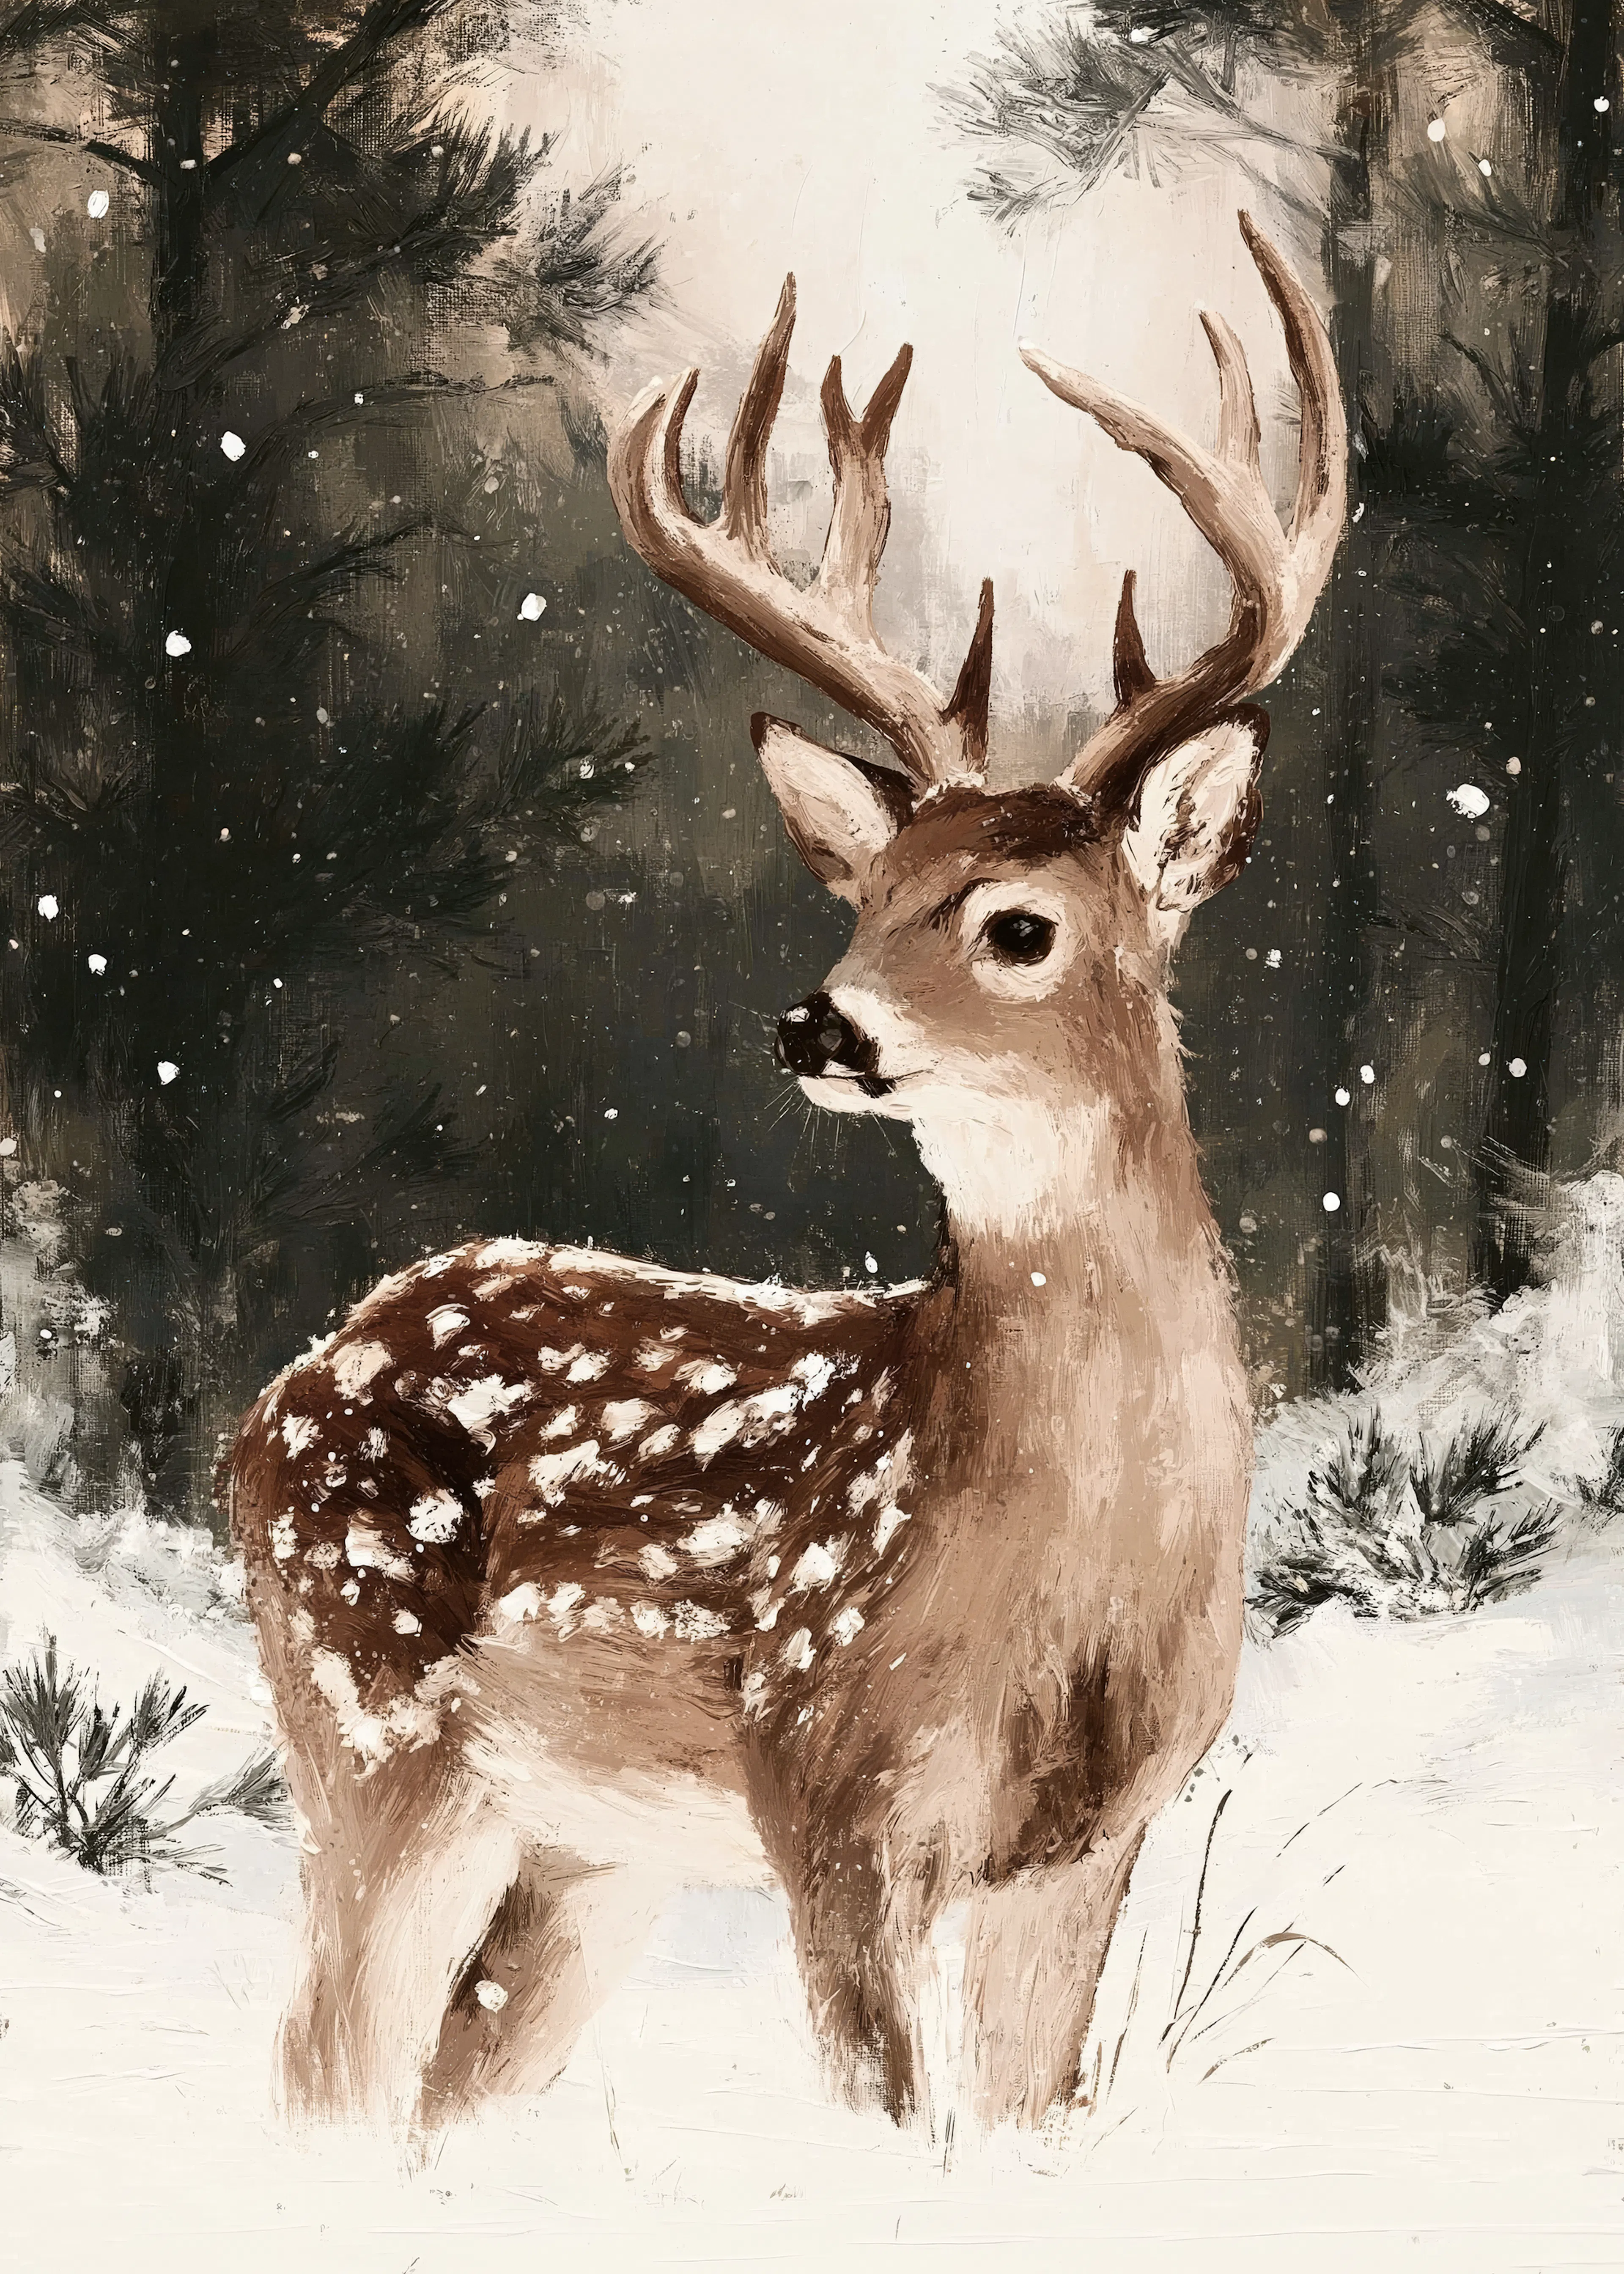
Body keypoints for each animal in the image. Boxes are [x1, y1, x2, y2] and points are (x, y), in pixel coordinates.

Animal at [226, 210, 1343, 2139]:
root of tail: (275, 1396)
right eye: (865, 896)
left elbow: (1022, 2123)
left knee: (434, 2087)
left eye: (1016, 922)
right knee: (321, 2070)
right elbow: (896, 2124)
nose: (814, 1020)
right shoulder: (829, 1785)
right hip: (376, 1726)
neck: (1066, 1575)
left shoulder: (1090, 1848)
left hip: (584, 1850)